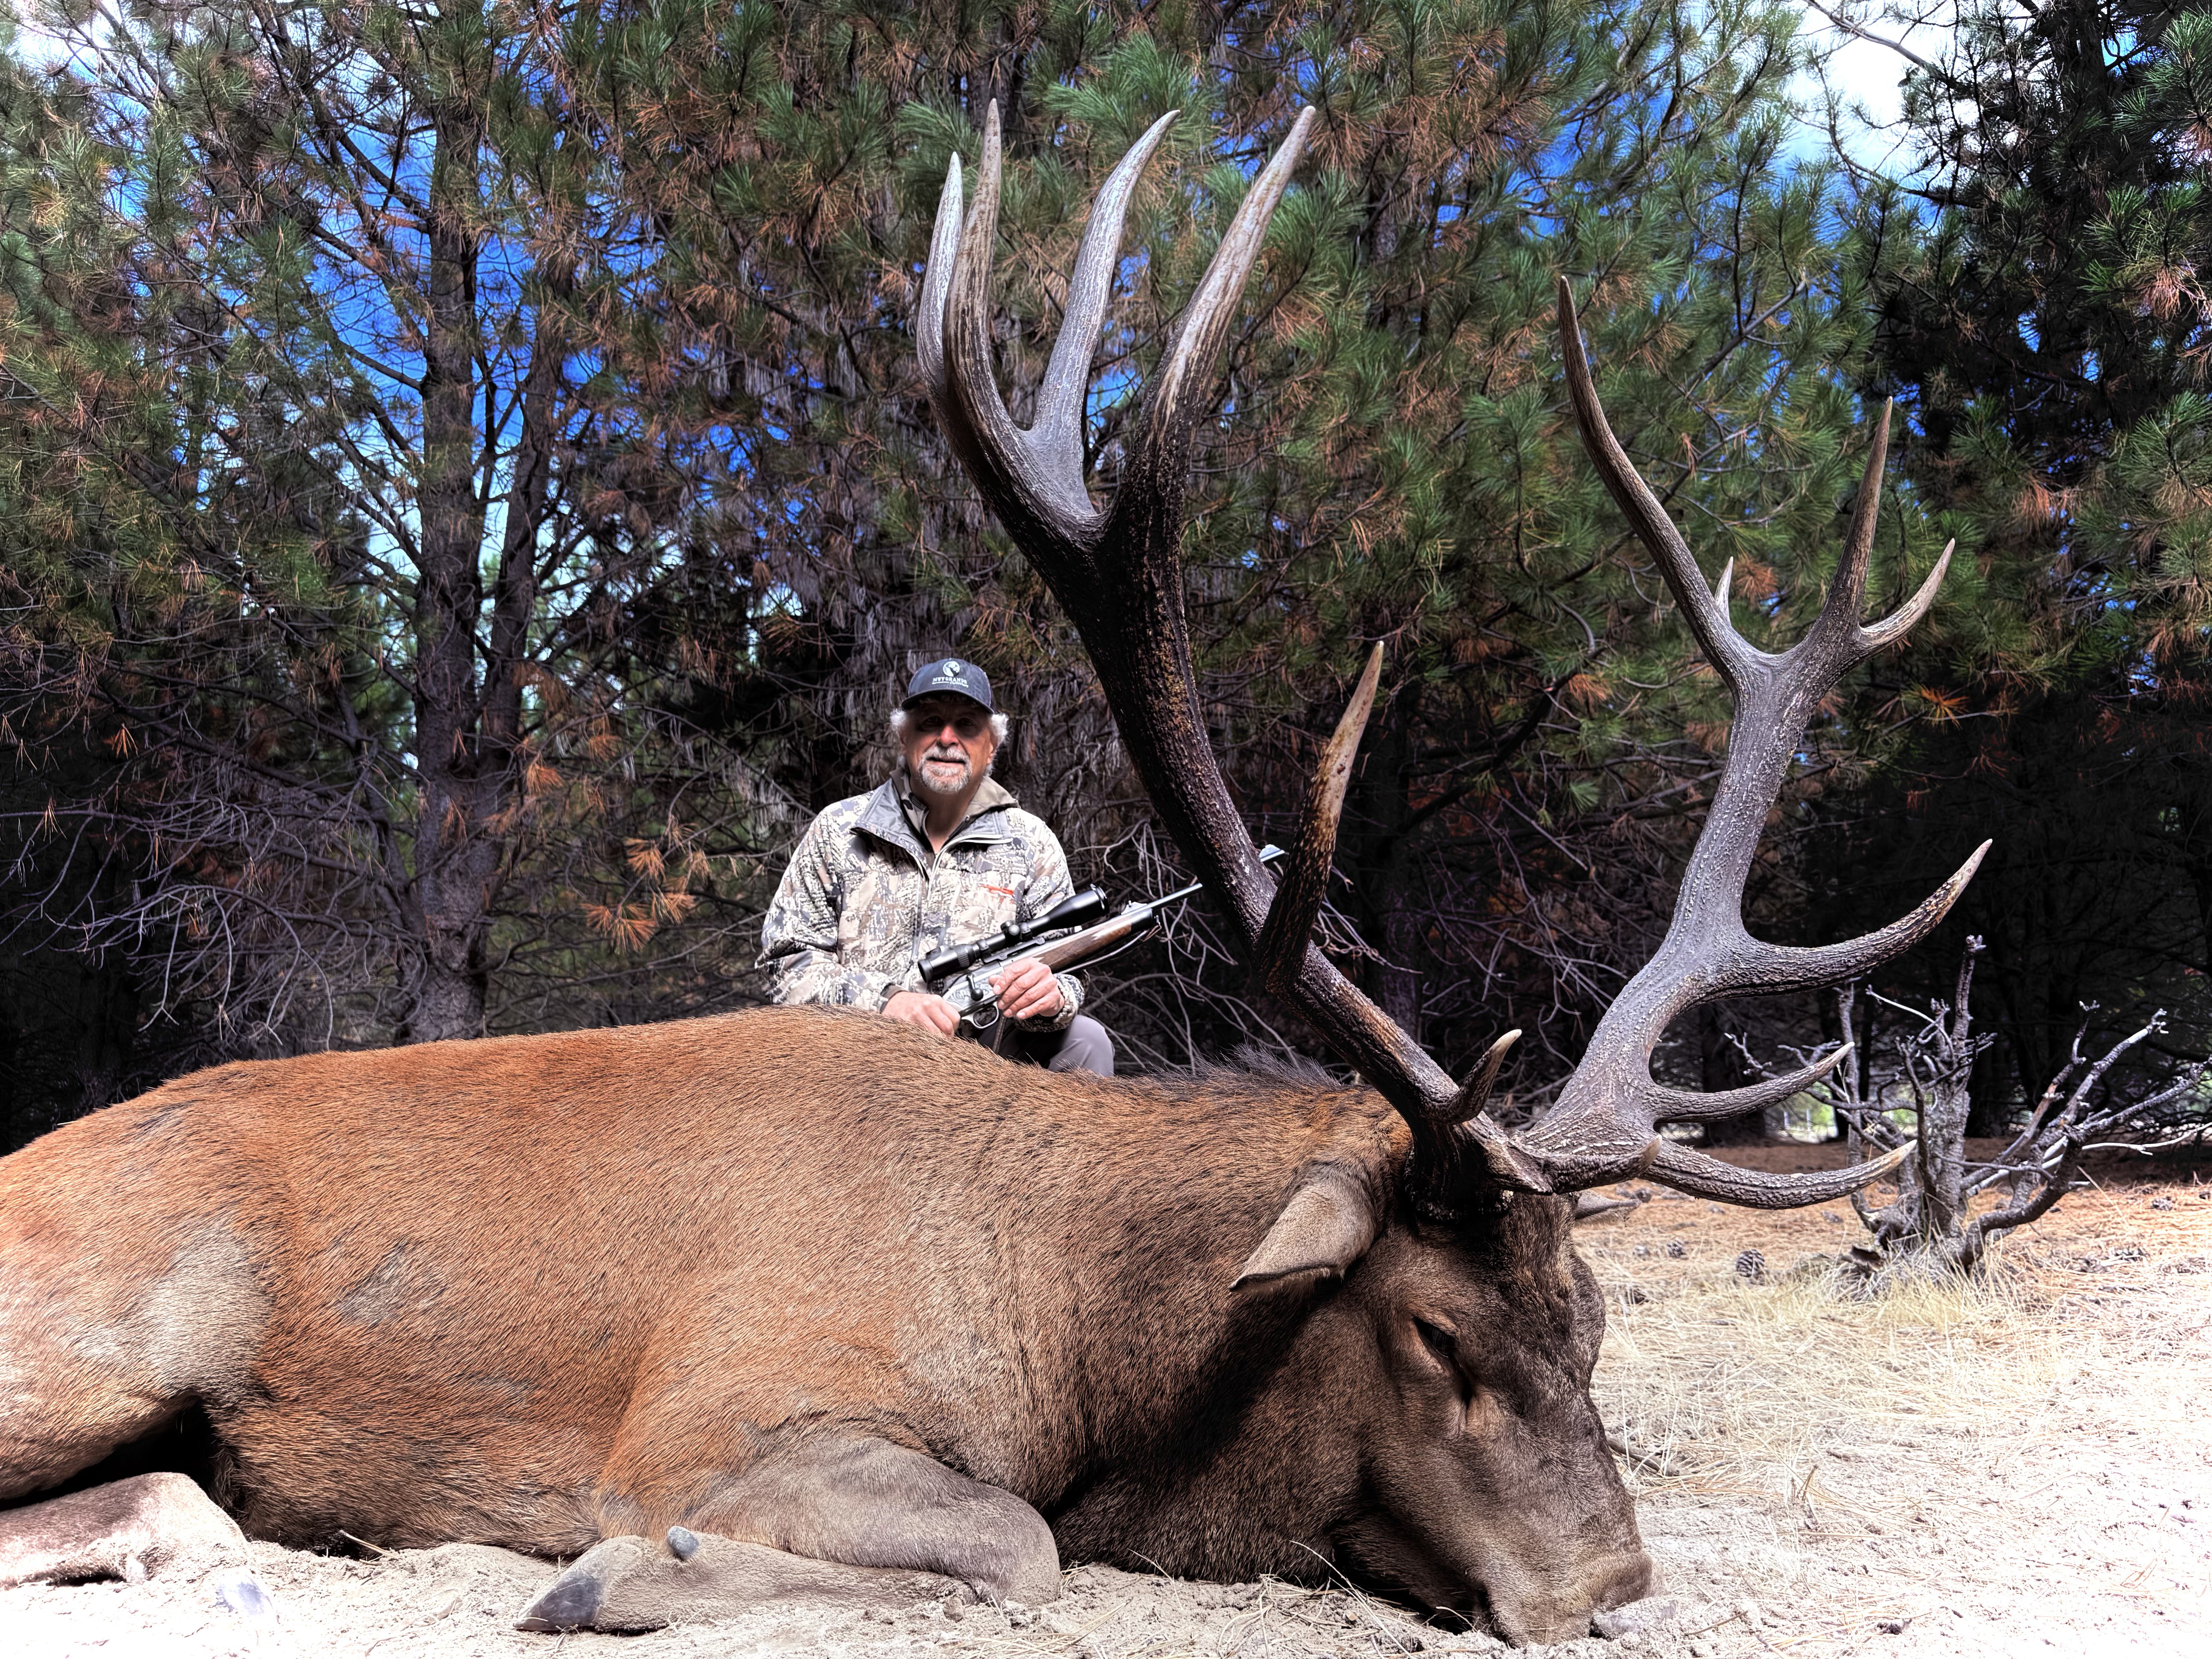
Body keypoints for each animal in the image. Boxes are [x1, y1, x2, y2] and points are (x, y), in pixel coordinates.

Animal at [0, 105, 1980, 1647]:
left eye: (1594, 1316)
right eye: (1435, 1330)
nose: (1610, 1589)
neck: (1074, 1344)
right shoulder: (708, 1410)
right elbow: (1011, 1542)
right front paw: (611, 1576)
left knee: (175, 1498)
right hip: (113, 1310)